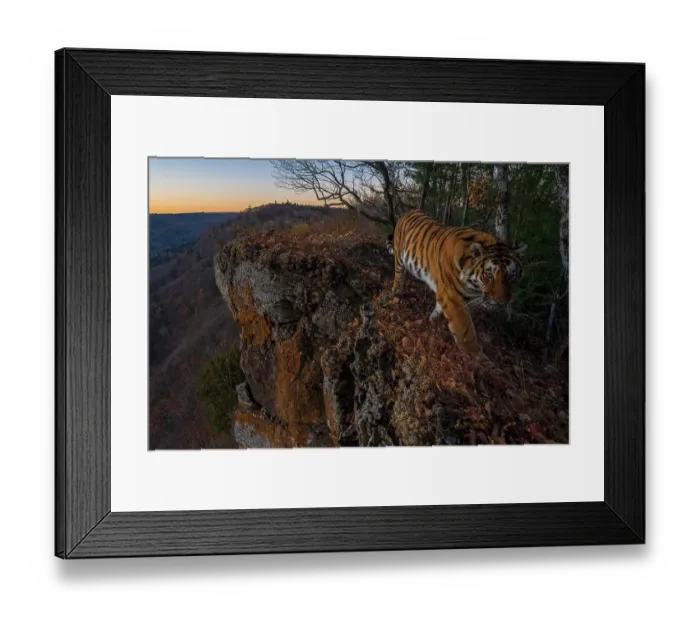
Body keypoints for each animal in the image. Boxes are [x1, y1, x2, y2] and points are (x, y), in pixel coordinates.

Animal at [388, 210, 527, 354]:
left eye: (511, 276)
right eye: (489, 274)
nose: (501, 302)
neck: (473, 286)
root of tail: (409, 211)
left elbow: (440, 309)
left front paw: (432, 322)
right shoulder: (452, 297)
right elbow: (465, 329)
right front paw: (475, 354)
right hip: (399, 258)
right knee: (398, 277)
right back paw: (396, 294)